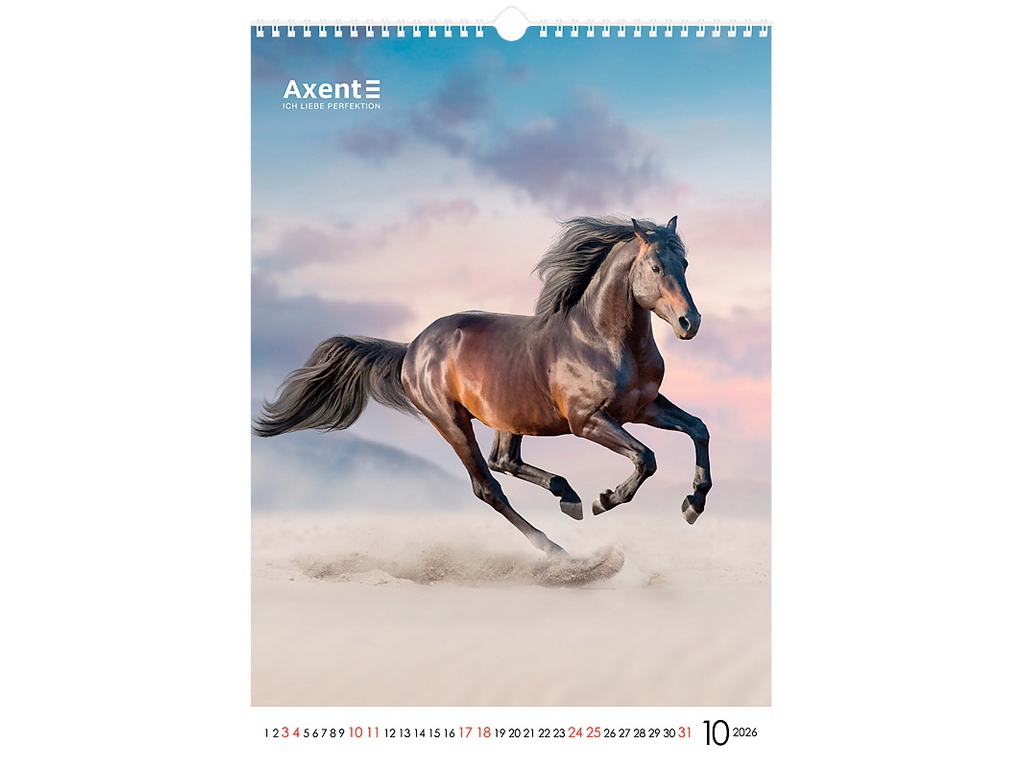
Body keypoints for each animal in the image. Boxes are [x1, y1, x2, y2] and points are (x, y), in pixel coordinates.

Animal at [253, 216, 712, 558]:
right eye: (656, 267)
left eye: (686, 266)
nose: (690, 322)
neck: (599, 339)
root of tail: (412, 348)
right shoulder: (588, 421)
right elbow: (646, 458)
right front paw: (606, 499)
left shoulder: (643, 408)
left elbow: (698, 429)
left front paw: (693, 504)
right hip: (452, 422)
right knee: (488, 486)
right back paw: (556, 548)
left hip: (510, 414)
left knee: (504, 460)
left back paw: (567, 497)